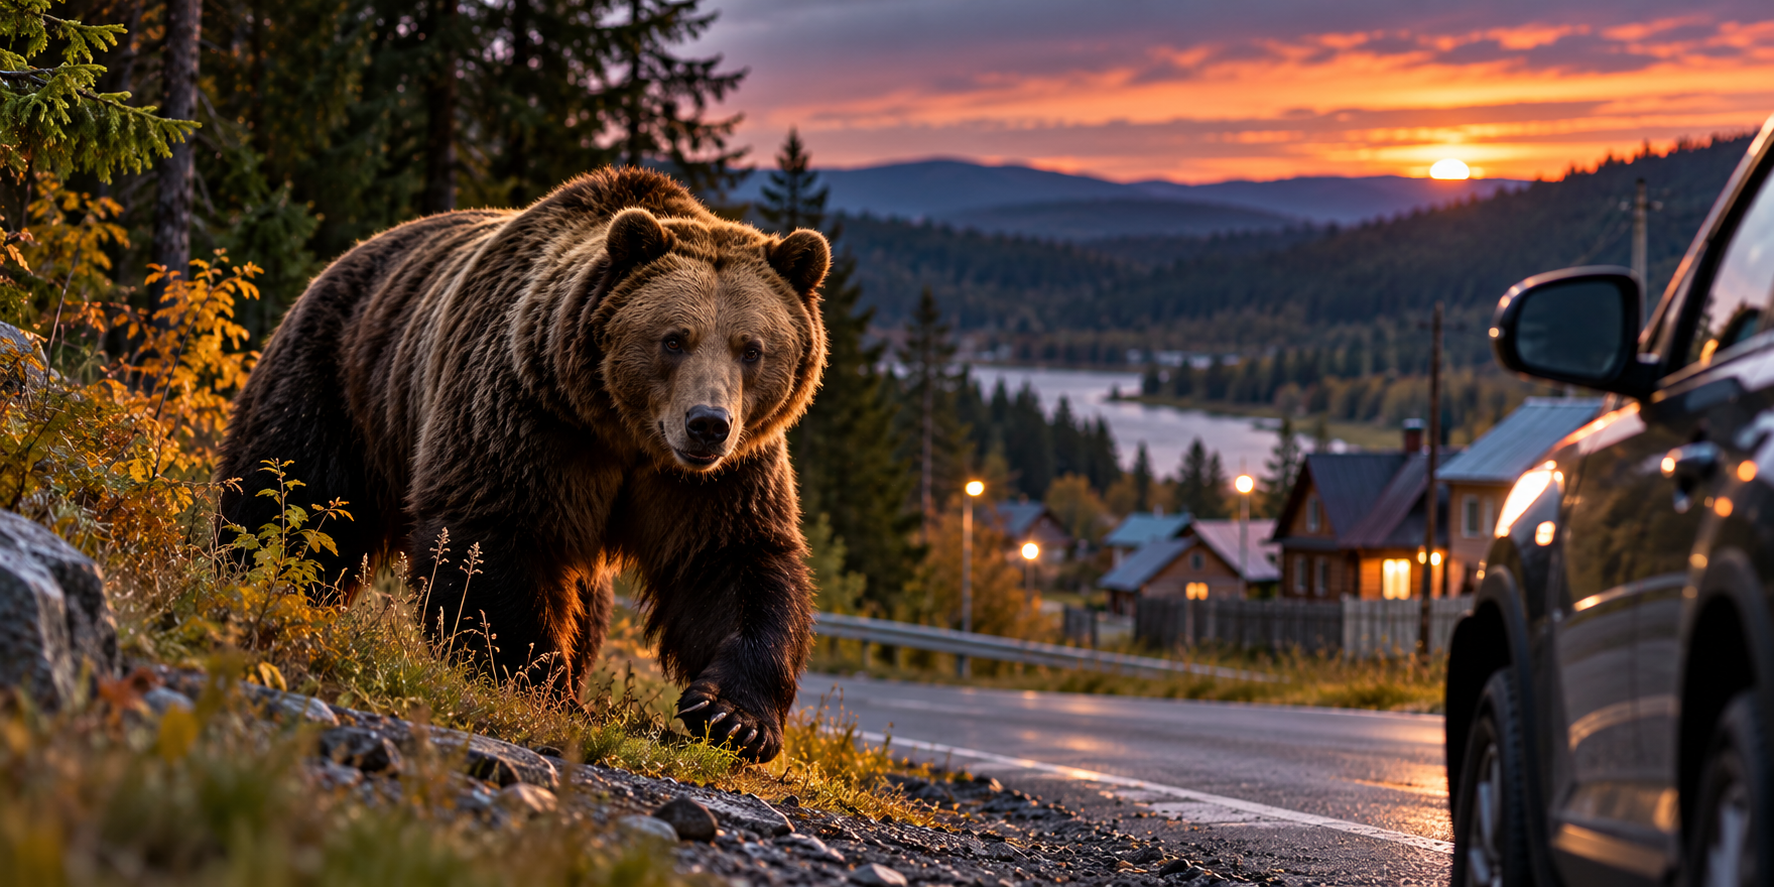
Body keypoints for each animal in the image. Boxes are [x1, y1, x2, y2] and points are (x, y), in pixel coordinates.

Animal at [216, 168, 830, 762]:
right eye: (674, 339)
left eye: (751, 348)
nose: (707, 423)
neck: (622, 430)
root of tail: (345, 257)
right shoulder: (529, 415)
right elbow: (492, 536)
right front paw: (538, 684)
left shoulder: (718, 476)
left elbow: (733, 562)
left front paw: (734, 717)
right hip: (339, 383)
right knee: (291, 502)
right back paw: (258, 583)